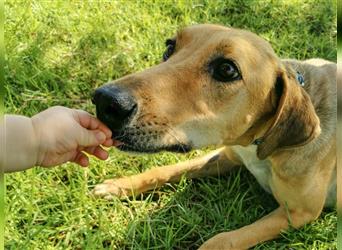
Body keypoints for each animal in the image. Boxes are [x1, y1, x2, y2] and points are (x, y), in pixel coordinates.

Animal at [91, 24, 336, 249]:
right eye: (169, 47)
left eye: (227, 69)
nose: (105, 101)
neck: (261, 144)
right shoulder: (227, 155)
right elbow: (166, 169)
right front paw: (119, 185)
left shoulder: (300, 212)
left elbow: (223, 239)